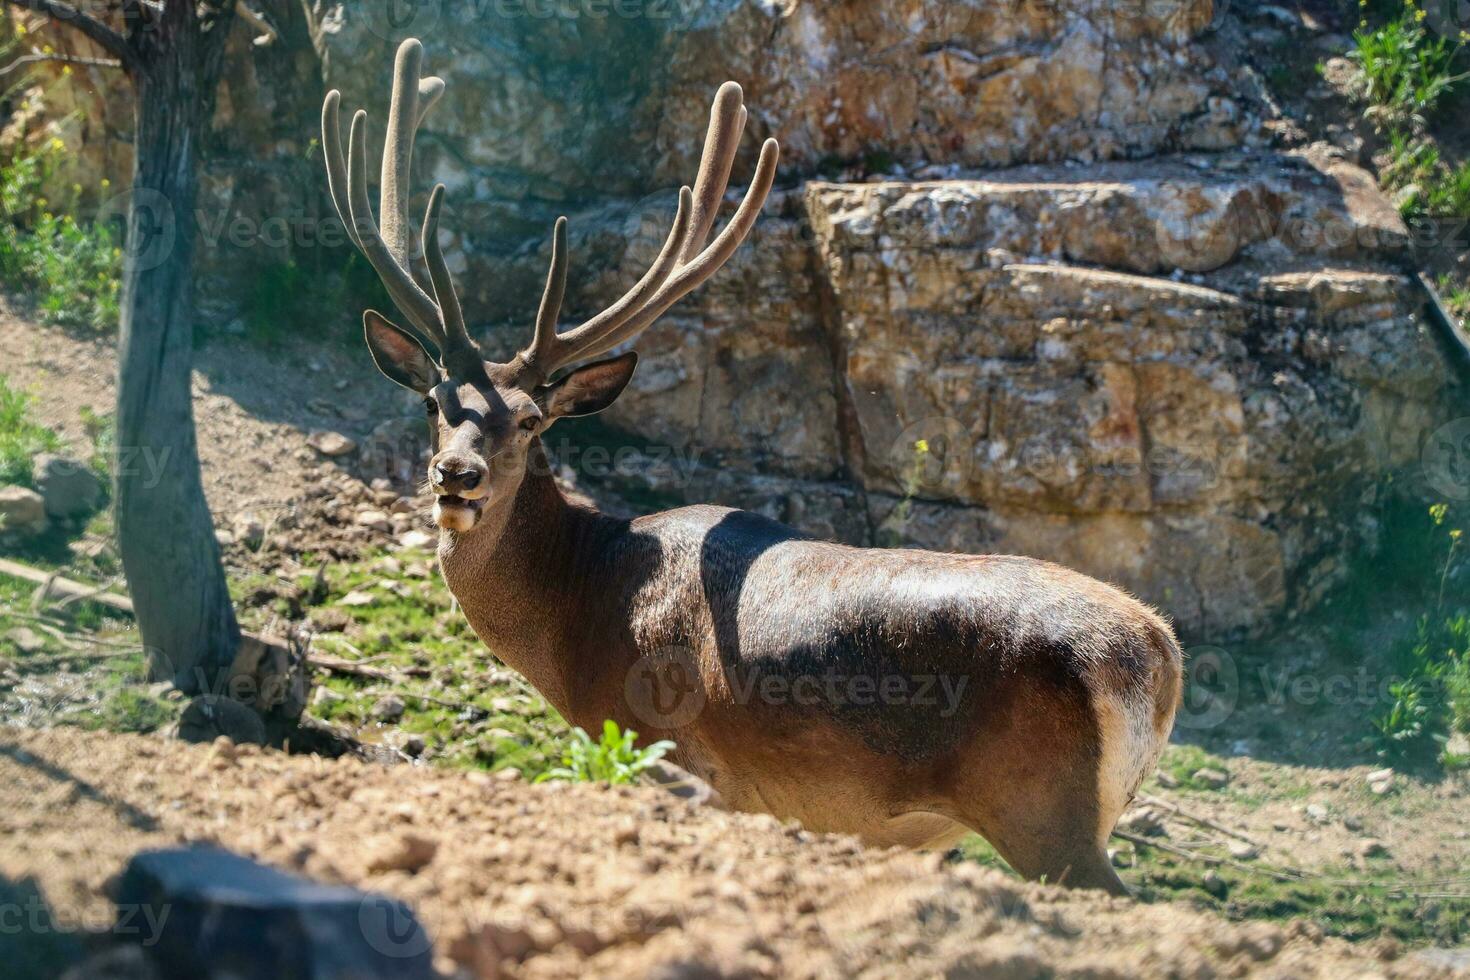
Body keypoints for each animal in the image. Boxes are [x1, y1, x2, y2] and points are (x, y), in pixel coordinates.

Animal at [324, 38, 1181, 899]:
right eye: (434, 402)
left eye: (533, 420)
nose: (455, 476)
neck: (577, 618)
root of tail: (1155, 652)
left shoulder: (666, 748)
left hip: (1043, 812)